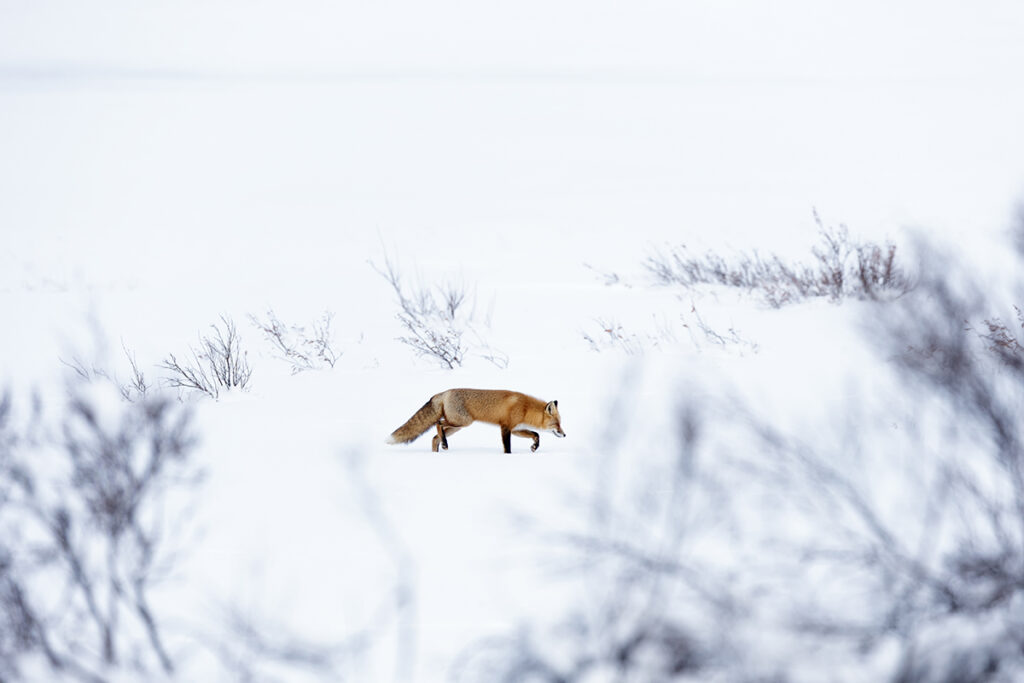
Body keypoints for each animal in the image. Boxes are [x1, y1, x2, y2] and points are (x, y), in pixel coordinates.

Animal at [387, 388, 565, 453]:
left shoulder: (516, 429)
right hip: (462, 422)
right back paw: (444, 444)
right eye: (556, 424)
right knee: (438, 424)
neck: (525, 408)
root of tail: (443, 392)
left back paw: (438, 451)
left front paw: (535, 446)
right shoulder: (506, 428)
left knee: (434, 438)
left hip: (457, 426)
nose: (564, 435)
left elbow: (536, 434)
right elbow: (507, 448)